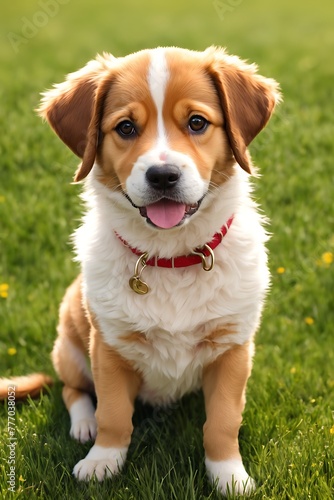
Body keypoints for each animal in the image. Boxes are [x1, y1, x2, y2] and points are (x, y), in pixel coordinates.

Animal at [1, 47, 280, 496]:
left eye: (197, 122)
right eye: (126, 127)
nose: (163, 176)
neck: (171, 257)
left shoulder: (232, 348)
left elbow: (222, 422)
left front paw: (229, 476)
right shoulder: (109, 347)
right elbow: (114, 415)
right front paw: (102, 461)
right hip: (70, 345)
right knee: (73, 391)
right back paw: (82, 426)